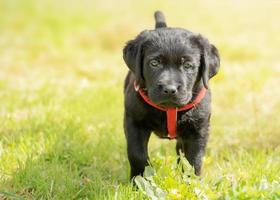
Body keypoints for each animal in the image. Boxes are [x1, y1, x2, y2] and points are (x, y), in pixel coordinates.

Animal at [122, 10, 219, 179]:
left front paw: (190, 181)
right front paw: (139, 179)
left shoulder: (199, 129)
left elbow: (193, 161)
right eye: (154, 63)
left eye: (188, 65)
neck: (168, 109)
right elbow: (137, 154)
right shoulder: (134, 121)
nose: (169, 89)